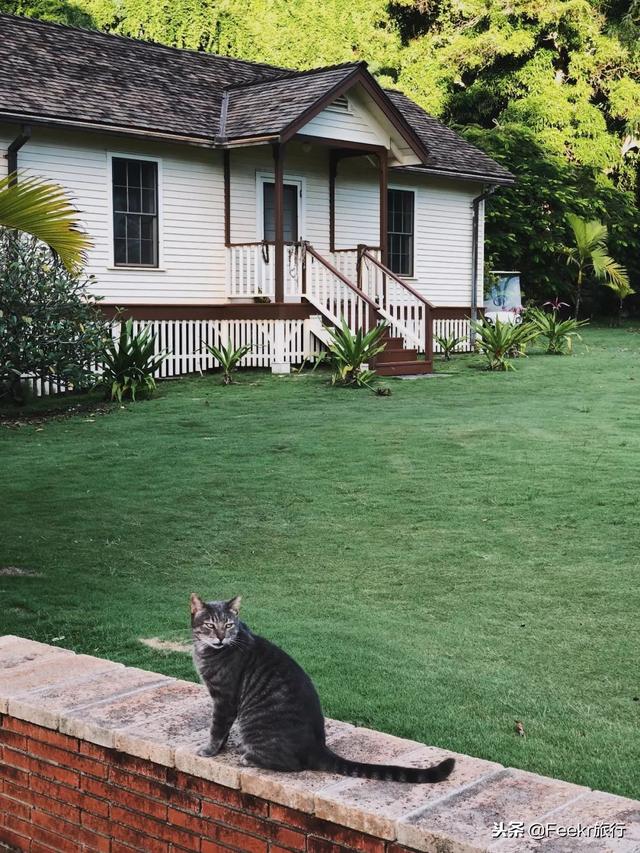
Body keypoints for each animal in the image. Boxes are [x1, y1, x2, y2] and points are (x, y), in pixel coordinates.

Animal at [190, 592, 456, 784]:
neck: (208, 652)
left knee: (292, 765)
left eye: (229, 624)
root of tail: (318, 747)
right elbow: (222, 731)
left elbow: (217, 728)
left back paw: (249, 757)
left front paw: (210, 751)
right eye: (210, 625)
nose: (221, 637)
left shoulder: (225, 699)